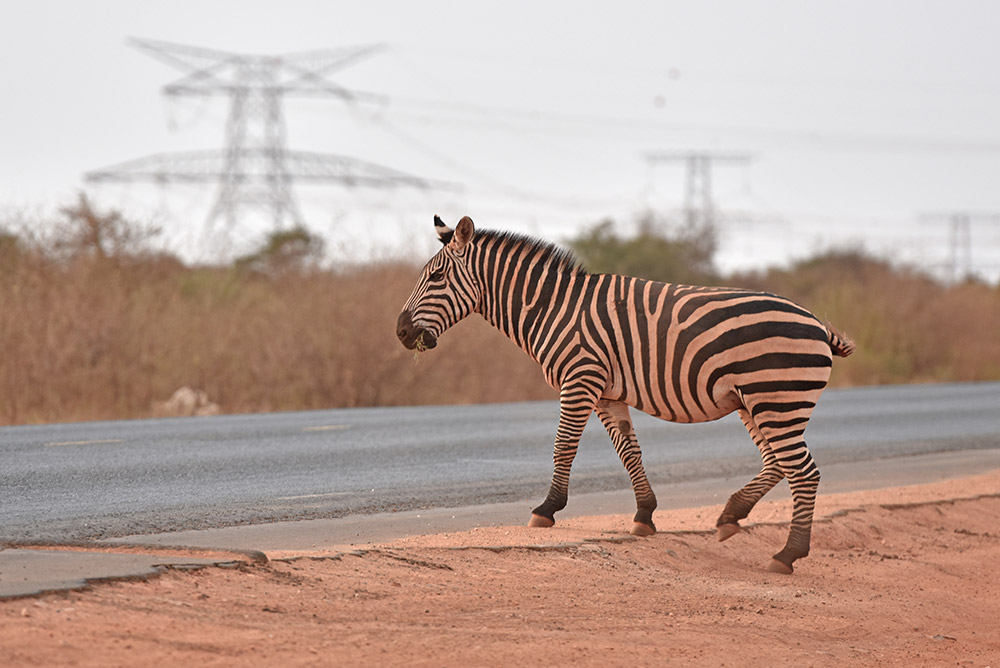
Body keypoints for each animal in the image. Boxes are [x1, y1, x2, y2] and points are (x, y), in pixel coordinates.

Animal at [394, 215, 856, 576]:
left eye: (436, 278)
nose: (400, 333)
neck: (551, 309)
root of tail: (816, 322)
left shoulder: (580, 379)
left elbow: (564, 446)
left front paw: (547, 508)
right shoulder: (607, 393)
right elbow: (628, 450)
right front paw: (645, 515)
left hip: (777, 399)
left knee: (804, 471)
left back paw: (787, 554)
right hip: (756, 402)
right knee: (778, 463)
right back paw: (730, 516)